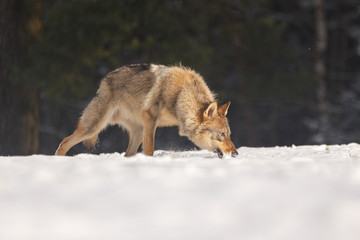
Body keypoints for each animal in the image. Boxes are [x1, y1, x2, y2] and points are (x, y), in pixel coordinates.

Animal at [54, 63, 238, 158]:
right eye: (221, 134)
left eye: (229, 134)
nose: (236, 154)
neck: (179, 95)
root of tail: (104, 79)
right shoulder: (151, 120)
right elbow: (150, 149)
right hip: (93, 127)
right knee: (64, 142)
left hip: (137, 132)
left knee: (127, 154)